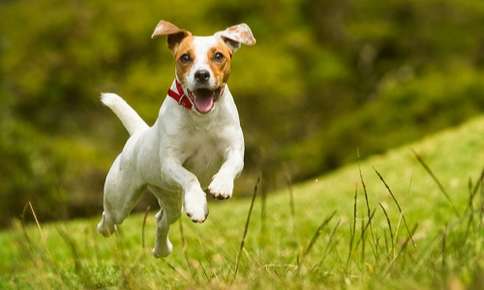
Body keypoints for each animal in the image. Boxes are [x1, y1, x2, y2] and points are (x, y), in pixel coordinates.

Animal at [98, 20, 258, 258]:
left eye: (218, 55)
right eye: (185, 57)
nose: (201, 75)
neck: (202, 118)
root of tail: (138, 134)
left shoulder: (235, 151)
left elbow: (229, 166)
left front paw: (220, 185)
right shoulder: (170, 163)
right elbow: (190, 177)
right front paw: (197, 204)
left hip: (169, 197)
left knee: (161, 219)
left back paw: (162, 250)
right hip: (121, 199)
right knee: (109, 217)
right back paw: (106, 229)